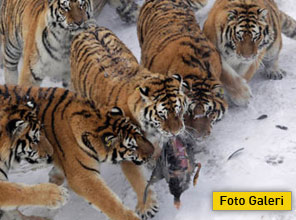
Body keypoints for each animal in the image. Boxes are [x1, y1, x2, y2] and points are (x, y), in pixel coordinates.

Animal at [0, 85, 156, 220]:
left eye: (140, 134)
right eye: (132, 147)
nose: (153, 152)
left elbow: (137, 177)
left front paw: (147, 204)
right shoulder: (83, 177)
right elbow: (109, 202)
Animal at [70, 26, 187, 220]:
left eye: (178, 110)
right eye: (162, 115)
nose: (176, 132)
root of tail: (88, 28)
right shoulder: (124, 148)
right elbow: (136, 177)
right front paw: (146, 206)